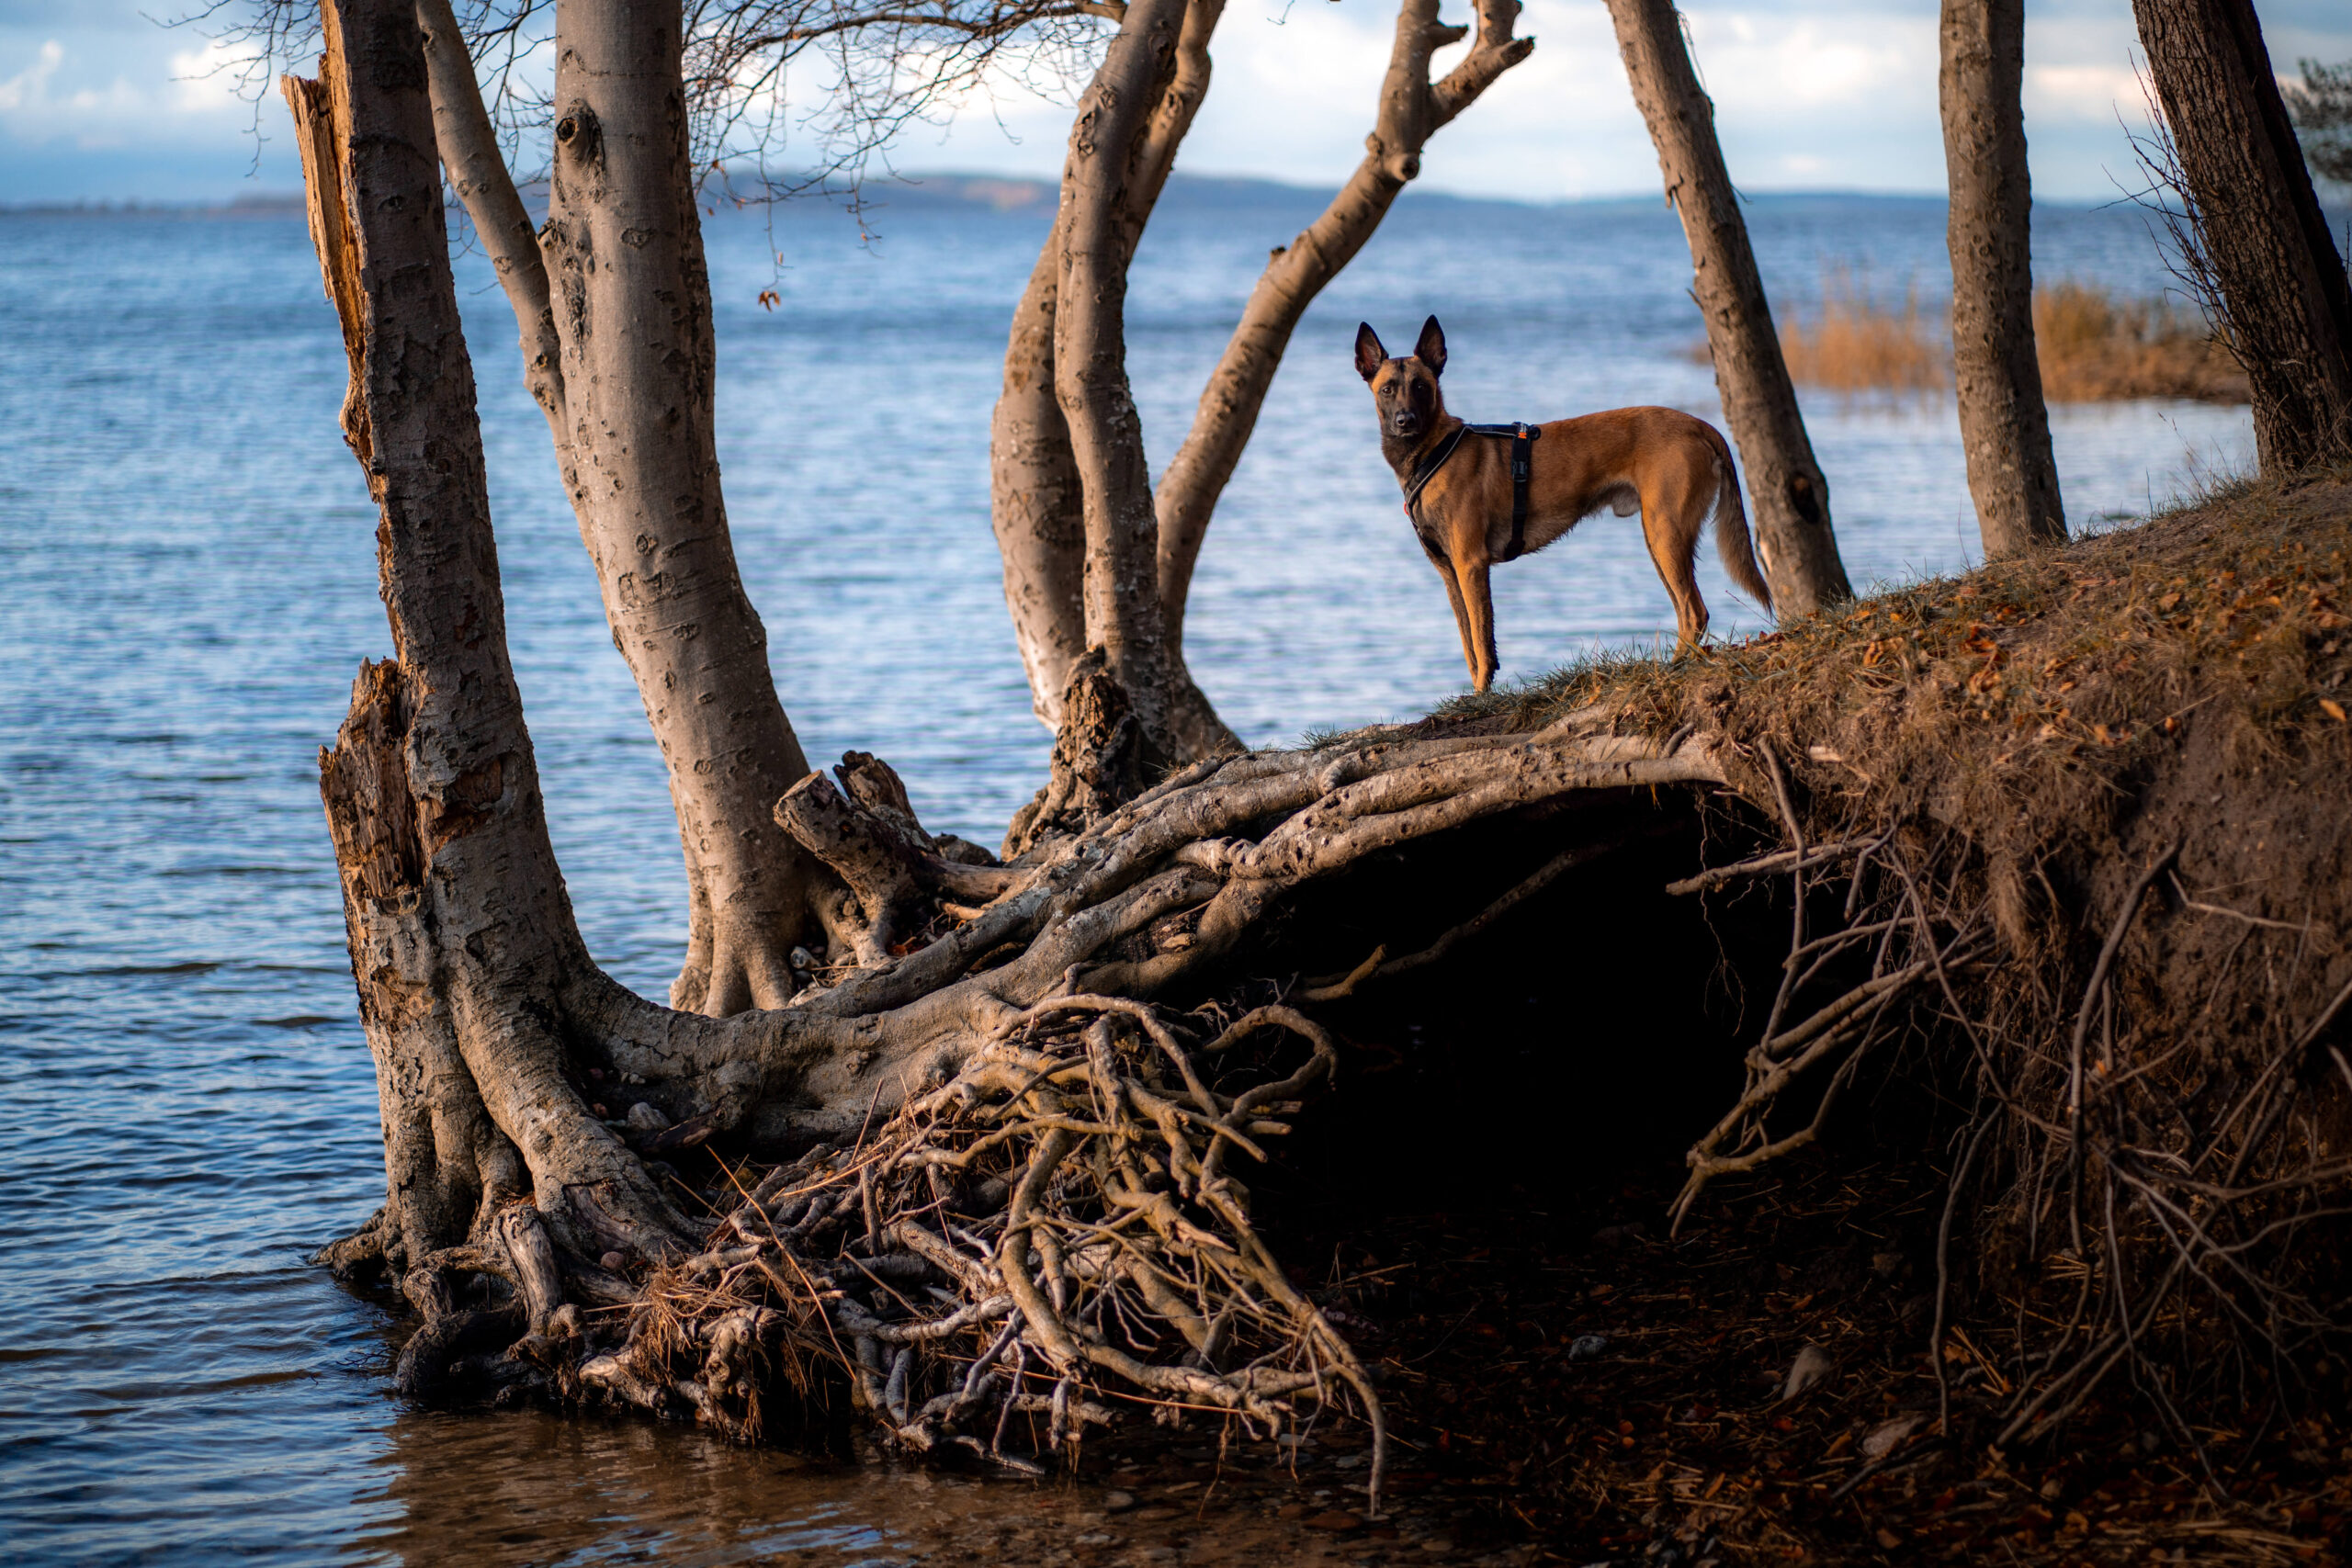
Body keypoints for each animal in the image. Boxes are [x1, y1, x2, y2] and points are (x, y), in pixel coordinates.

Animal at [1354, 314, 1769, 691]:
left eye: (1421, 386)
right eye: (1388, 389)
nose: (1405, 421)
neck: (1432, 453)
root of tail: (1700, 425)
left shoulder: (1471, 565)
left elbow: (1483, 645)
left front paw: (1483, 697)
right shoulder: (1449, 572)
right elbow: (1469, 646)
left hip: (1667, 534)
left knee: (1695, 612)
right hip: (1660, 540)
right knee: (1686, 612)